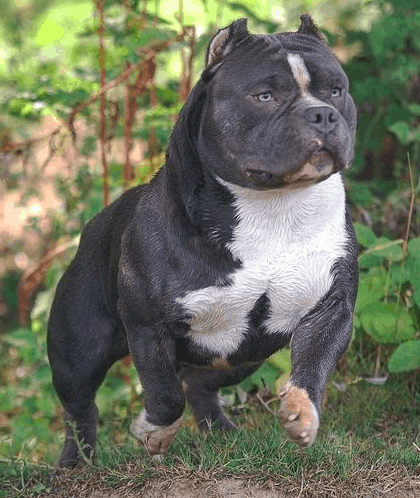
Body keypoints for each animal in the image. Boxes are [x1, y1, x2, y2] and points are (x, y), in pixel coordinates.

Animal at [48, 15, 358, 466]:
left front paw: (302, 414)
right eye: (264, 96)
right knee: (81, 408)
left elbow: (312, 369)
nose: (322, 114)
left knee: (199, 383)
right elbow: (163, 394)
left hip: (243, 354)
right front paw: (153, 432)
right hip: (80, 348)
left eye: (336, 91)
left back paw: (221, 431)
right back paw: (77, 462)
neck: (273, 207)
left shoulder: (330, 310)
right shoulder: (148, 326)